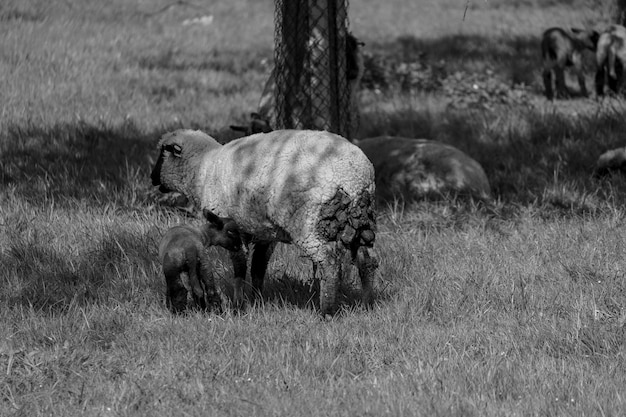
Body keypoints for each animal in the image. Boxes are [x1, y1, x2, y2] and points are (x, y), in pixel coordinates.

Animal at [151, 128, 376, 314]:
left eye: (162, 152)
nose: (152, 178)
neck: (203, 170)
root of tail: (353, 177)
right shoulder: (264, 232)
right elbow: (258, 268)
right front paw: (257, 300)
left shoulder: (234, 228)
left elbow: (240, 268)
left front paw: (239, 304)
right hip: (361, 220)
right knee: (367, 260)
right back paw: (367, 304)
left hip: (309, 222)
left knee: (329, 263)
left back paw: (327, 311)